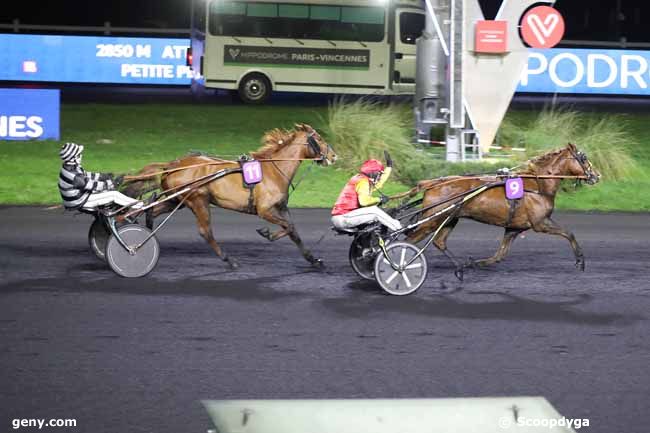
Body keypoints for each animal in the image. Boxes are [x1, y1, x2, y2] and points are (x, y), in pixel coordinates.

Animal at [123, 123, 334, 268]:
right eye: (319, 139)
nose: (333, 156)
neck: (274, 169)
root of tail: (173, 164)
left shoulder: (281, 207)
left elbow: (293, 231)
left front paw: (314, 260)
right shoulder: (264, 210)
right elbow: (288, 227)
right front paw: (267, 233)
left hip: (177, 200)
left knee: (151, 211)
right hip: (197, 199)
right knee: (205, 231)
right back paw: (229, 259)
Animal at [404, 143, 596, 272]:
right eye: (583, 158)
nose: (596, 175)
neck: (538, 185)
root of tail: (430, 183)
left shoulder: (514, 228)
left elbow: (499, 255)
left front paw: (474, 263)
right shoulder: (541, 223)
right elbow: (568, 233)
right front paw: (580, 261)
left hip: (449, 219)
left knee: (439, 241)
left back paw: (459, 267)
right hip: (432, 220)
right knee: (409, 240)